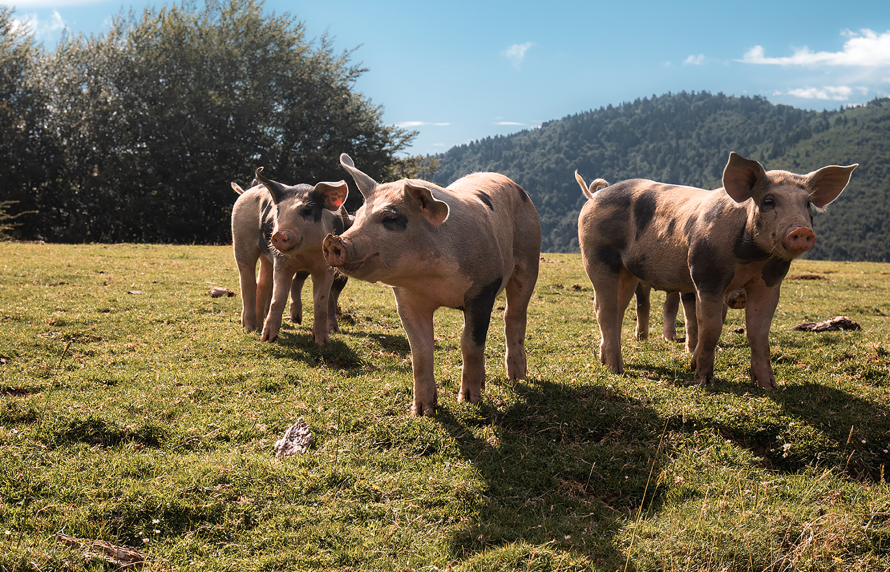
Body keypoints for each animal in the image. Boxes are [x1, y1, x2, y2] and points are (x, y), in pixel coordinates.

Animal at [229, 166, 350, 344]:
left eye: (307, 210)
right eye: (278, 211)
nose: (279, 235)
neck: (305, 253)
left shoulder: (326, 268)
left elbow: (320, 303)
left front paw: (323, 342)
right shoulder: (282, 262)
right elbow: (278, 298)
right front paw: (267, 339)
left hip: (266, 257)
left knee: (262, 283)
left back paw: (260, 325)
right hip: (241, 238)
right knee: (247, 281)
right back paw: (250, 328)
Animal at [320, 154, 536, 414]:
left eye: (391, 218)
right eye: (359, 215)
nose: (333, 241)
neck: (431, 278)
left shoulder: (483, 290)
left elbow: (470, 343)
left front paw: (468, 401)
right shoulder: (407, 300)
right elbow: (421, 350)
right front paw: (422, 411)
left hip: (529, 259)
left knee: (513, 316)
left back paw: (517, 378)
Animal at [576, 153, 852, 388]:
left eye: (808, 204)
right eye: (768, 201)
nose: (801, 230)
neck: (751, 258)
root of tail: (595, 196)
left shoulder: (770, 282)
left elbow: (759, 333)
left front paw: (769, 387)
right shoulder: (705, 274)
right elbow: (710, 329)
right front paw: (702, 380)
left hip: (628, 272)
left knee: (616, 308)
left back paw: (605, 361)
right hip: (597, 257)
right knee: (605, 310)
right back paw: (617, 369)